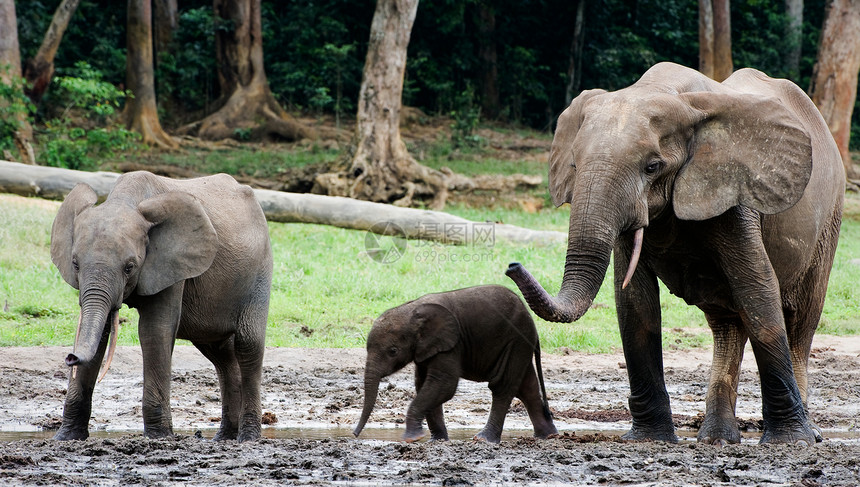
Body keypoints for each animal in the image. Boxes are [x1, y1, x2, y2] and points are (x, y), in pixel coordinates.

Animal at [51, 171, 272, 442]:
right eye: (75, 264)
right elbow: (98, 334)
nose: (70, 357)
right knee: (220, 353)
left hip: (260, 269)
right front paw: (66, 438)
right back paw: (224, 437)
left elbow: (154, 331)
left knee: (247, 345)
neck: (126, 200)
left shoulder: (172, 265)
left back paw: (247, 438)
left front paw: (159, 437)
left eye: (130, 267)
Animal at [352, 284, 560, 444]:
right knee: (527, 387)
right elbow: (424, 384)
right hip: (519, 343)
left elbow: (444, 384)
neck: (412, 309)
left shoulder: (451, 344)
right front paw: (436, 441)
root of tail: (531, 319)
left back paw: (484, 439)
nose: (354, 434)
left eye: (393, 351)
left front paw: (412, 438)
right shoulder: (428, 348)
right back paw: (548, 436)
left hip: (516, 340)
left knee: (502, 386)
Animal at [508, 63, 844, 448]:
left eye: (652, 167)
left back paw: (806, 435)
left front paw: (789, 443)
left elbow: (758, 291)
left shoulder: (733, 194)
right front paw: (648, 440)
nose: (512, 265)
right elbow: (635, 304)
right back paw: (716, 439)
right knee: (727, 324)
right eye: (575, 166)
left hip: (830, 218)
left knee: (801, 320)